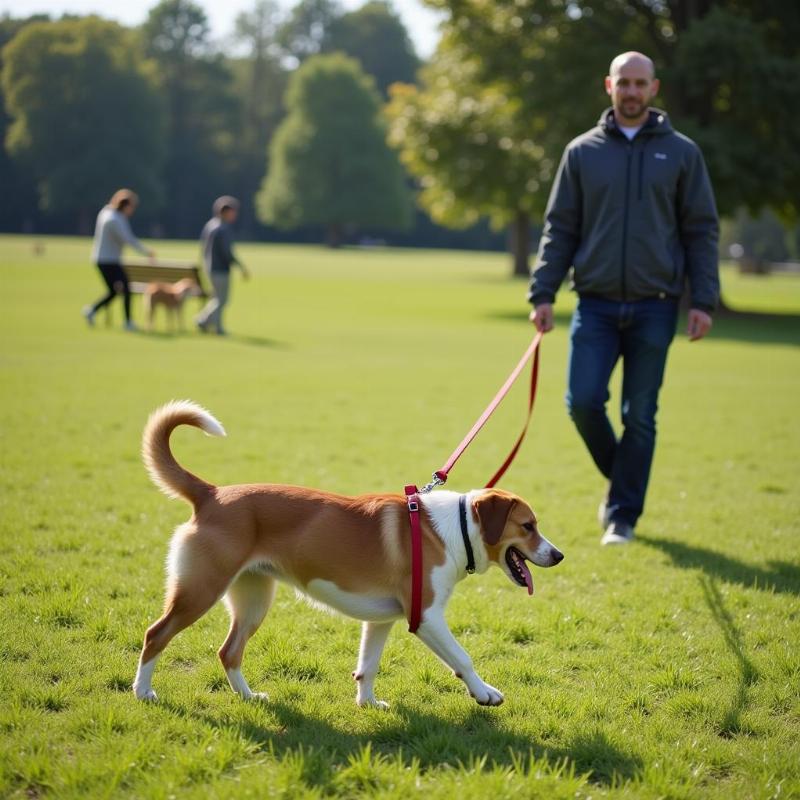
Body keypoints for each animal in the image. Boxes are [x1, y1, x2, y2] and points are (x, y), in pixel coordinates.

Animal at [134, 400, 564, 708]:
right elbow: (462, 658)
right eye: (528, 526)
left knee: (228, 652)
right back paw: (143, 692)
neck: (451, 529)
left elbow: (367, 667)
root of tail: (211, 494)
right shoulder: (426, 617)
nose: (558, 555)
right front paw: (484, 692)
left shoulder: (384, 619)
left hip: (254, 599)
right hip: (201, 591)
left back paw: (248, 696)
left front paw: (368, 703)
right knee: (156, 634)